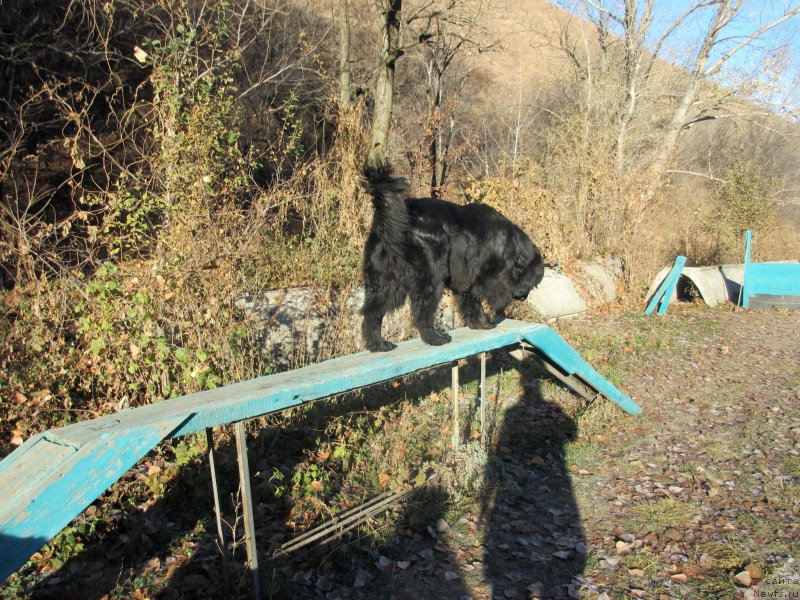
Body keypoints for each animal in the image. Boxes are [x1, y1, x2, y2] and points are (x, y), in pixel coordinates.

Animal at [360, 162, 544, 354]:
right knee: (422, 311)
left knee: (372, 312)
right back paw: (436, 338)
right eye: (533, 282)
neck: (514, 246)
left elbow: (471, 301)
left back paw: (378, 345)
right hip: (432, 276)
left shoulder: (468, 276)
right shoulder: (492, 276)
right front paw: (492, 317)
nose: (523, 298)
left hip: (385, 280)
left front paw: (481, 323)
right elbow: (496, 294)